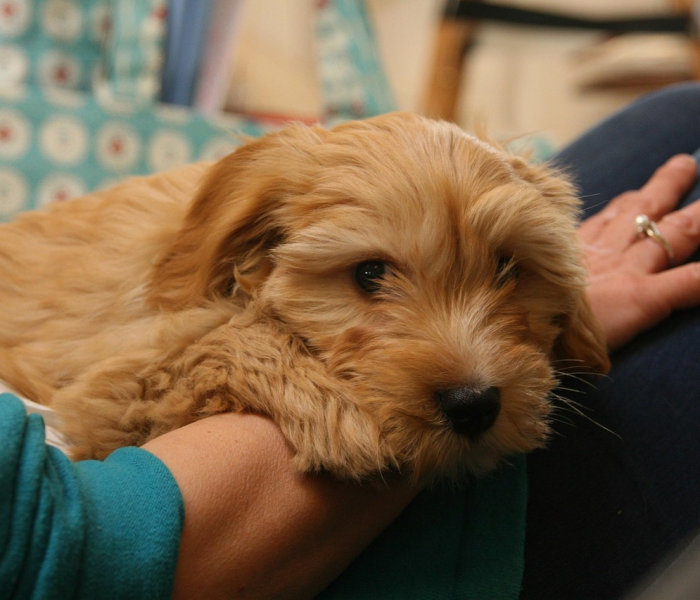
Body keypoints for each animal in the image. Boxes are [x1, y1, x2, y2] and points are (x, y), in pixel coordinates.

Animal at [0, 112, 609, 481]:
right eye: (369, 274)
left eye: (508, 269)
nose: (473, 403)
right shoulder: (105, 391)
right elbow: (222, 338)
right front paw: (334, 413)